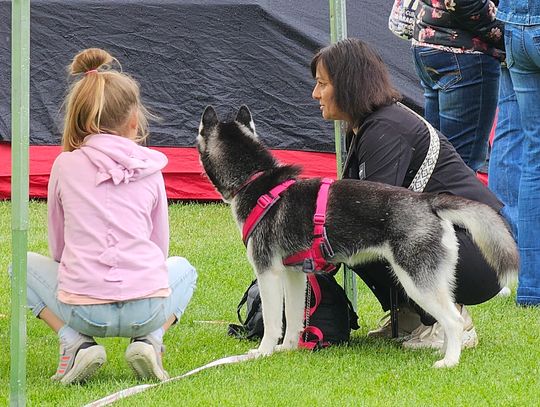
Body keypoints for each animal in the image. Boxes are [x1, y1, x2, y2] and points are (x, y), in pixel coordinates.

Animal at [196, 105, 519, 368]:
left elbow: (275, 321)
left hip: (416, 281)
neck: (255, 181)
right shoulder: (294, 274)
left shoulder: (267, 273)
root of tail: (428, 201)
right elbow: (294, 319)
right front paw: (288, 349)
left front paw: (262, 353)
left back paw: (449, 361)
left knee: (453, 319)